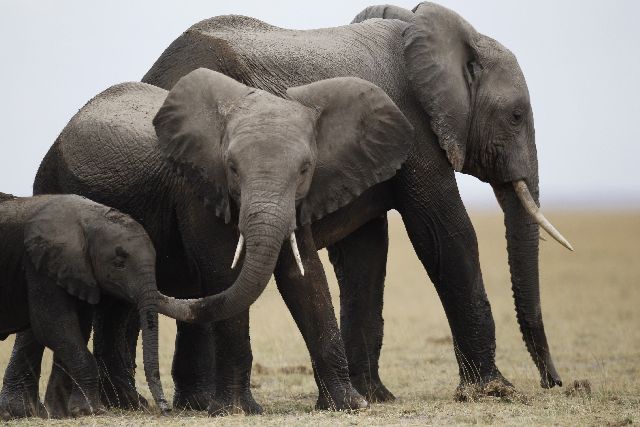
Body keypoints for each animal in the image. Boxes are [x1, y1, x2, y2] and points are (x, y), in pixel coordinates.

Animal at [0, 194, 209, 422]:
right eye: (119, 263)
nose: (166, 409)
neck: (89, 219)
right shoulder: (41, 266)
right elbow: (52, 326)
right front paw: (90, 411)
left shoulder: (77, 273)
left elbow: (75, 329)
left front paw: (64, 413)